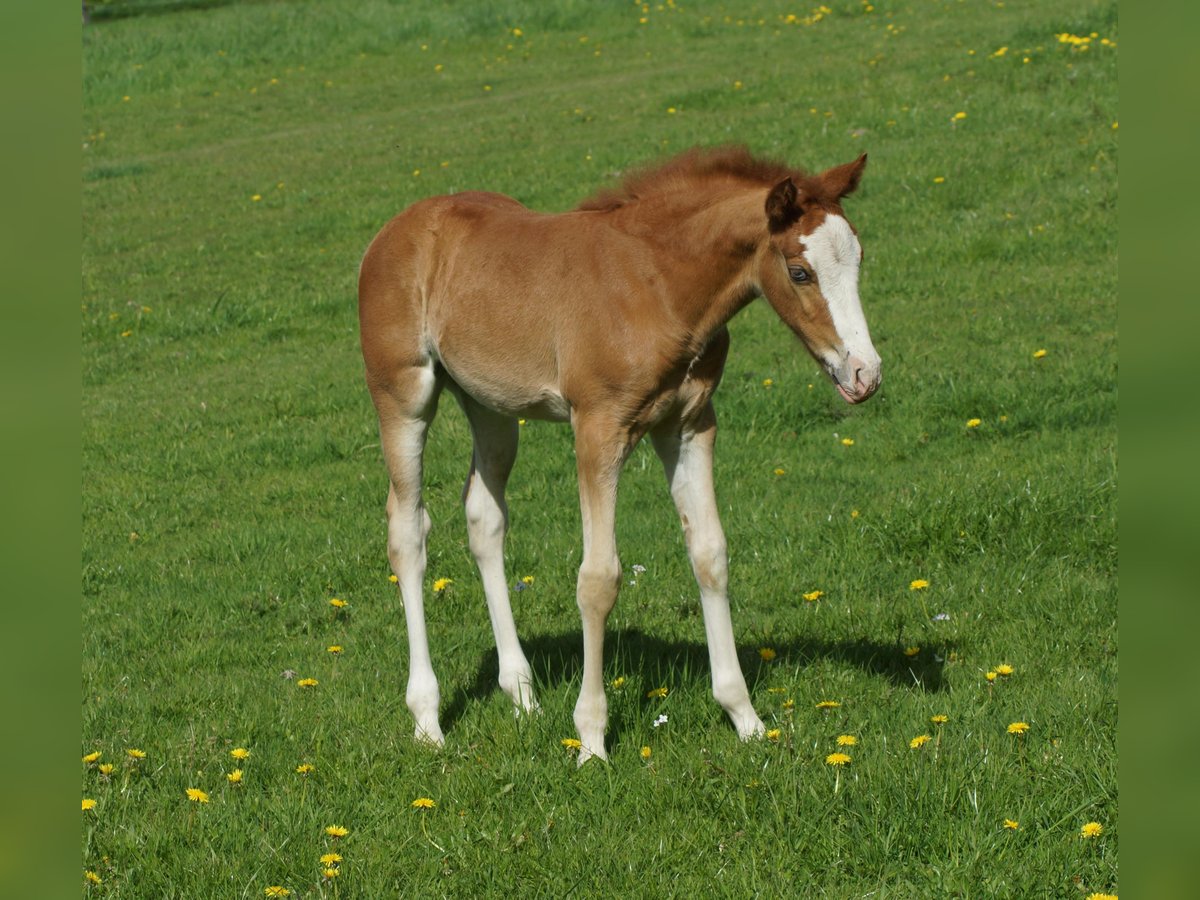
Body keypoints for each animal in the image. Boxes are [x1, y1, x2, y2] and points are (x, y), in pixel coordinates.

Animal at [358, 146, 881, 763]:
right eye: (800, 272)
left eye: (859, 259)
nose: (864, 374)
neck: (658, 284)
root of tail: (397, 227)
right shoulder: (598, 428)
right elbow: (599, 578)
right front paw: (591, 739)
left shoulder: (688, 426)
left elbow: (710, 555)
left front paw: (746, 718)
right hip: (403, 394)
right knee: (407, 531)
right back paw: (427, 719)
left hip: (490, 406)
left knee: (484, 519)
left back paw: (523, 695)